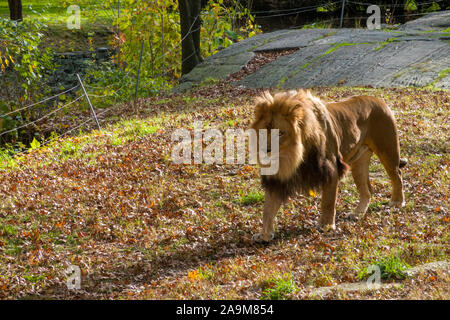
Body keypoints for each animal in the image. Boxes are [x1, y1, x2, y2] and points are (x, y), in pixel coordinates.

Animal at [251, 89, 406, 241]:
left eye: (280, 133)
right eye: (263, 132)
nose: (267, 150)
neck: (291, 157)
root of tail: (378, 100)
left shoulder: (331, 169)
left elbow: (328, 201)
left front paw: (326, 225)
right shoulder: (276, 179)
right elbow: (268, 209)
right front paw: (264, 235)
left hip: (387, 151)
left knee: (397, 176)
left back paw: (397, 202)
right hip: (359, 164)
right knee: (368, 191)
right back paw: (357, 213)